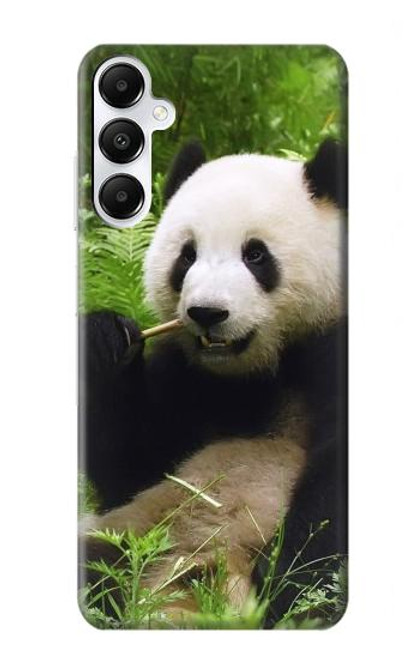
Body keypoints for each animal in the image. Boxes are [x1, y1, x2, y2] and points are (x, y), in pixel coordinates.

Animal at [80, 138, 348, 626]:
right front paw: (105, 340)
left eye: (256, 255)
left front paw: (288, 585)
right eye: (187, 256)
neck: (258, 371)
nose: (207, 313)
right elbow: (136, 467)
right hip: (132, 535)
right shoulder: (187, 376)